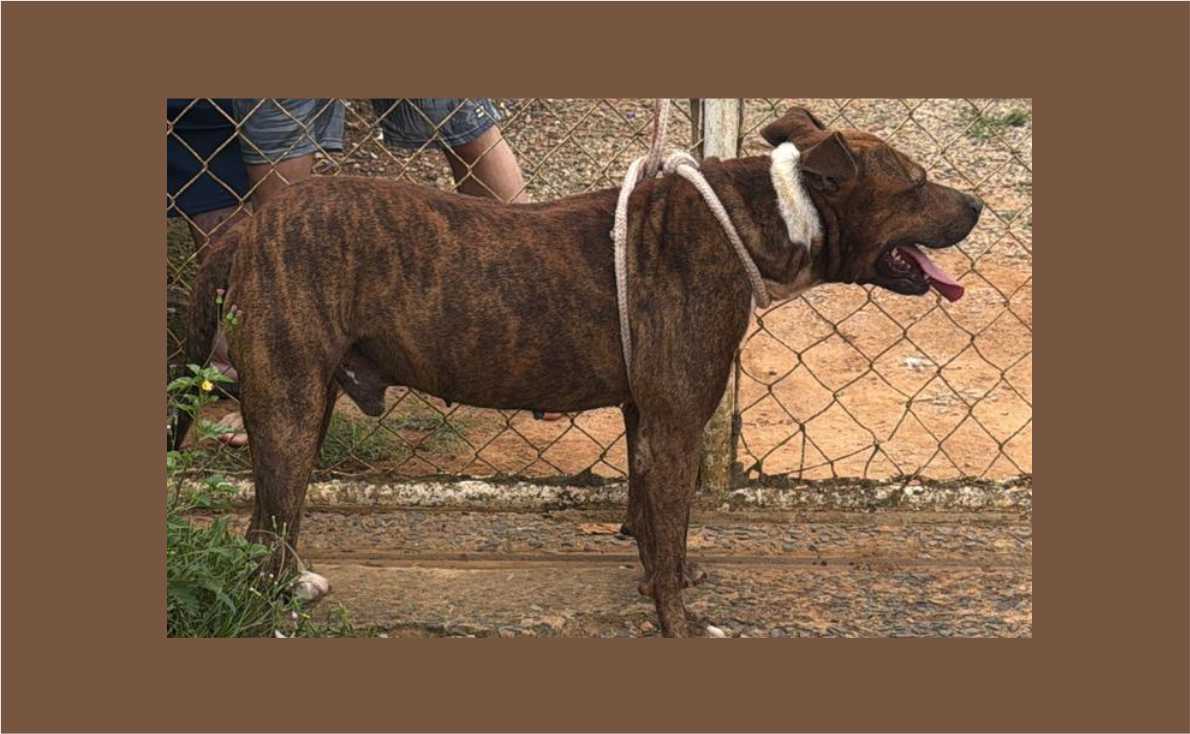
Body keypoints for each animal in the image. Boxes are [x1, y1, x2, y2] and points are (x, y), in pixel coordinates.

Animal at [173, 107, 981, 637]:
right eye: (916, 184)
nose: (975, 203)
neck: (764, 218)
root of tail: (252, 223)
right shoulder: (678, 426)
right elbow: (671, 526)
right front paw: (679, 622)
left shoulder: (645, 418)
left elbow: (652, 521)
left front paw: (661, 573)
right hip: (290, 408)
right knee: (263, 529)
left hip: (301, 408)